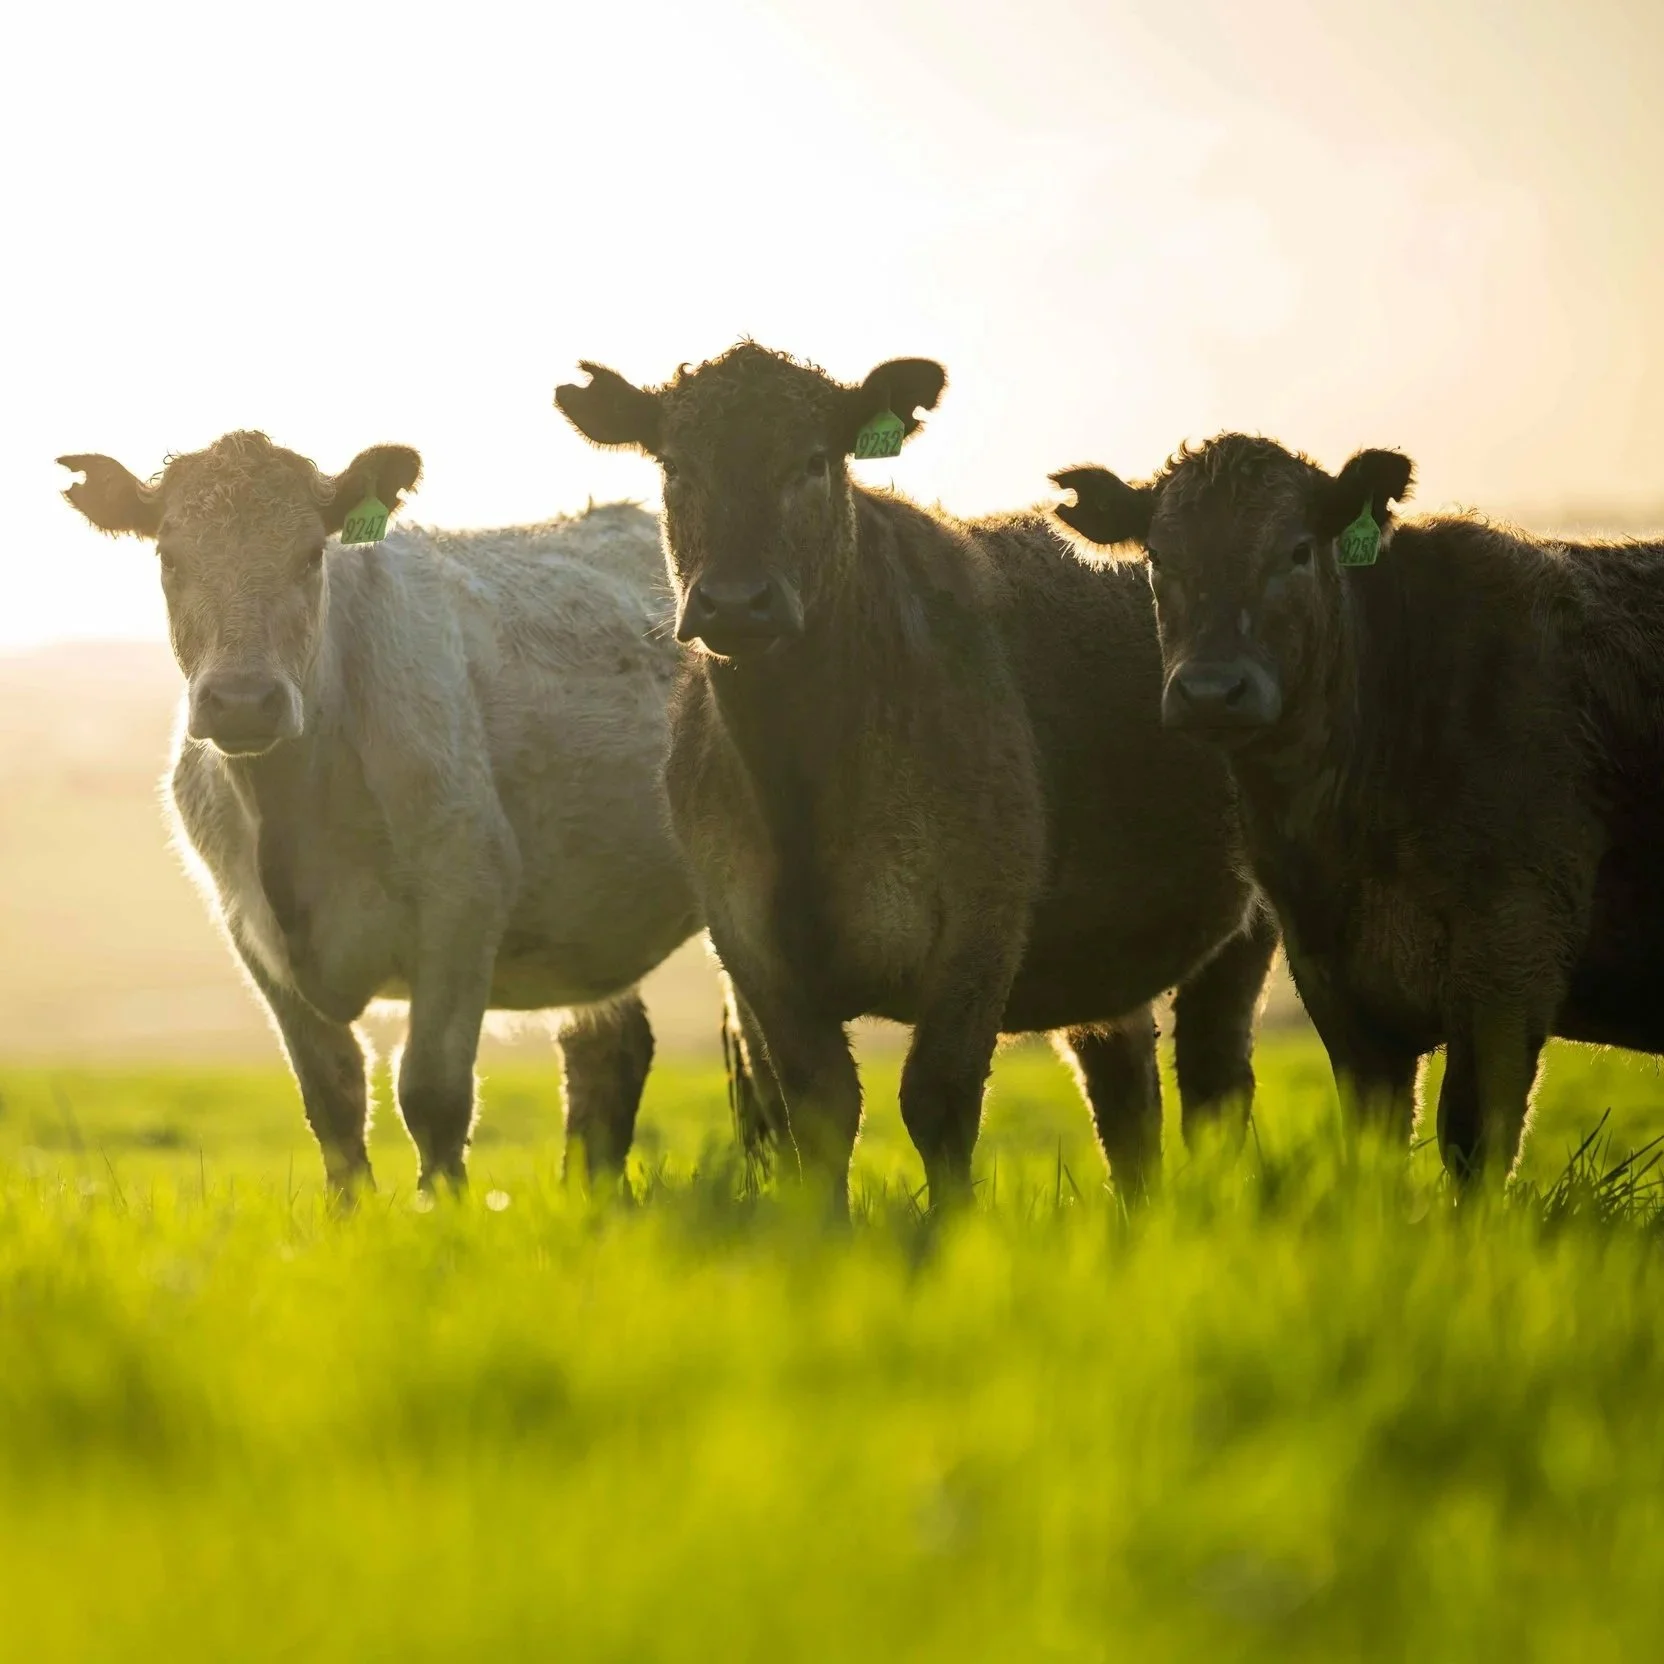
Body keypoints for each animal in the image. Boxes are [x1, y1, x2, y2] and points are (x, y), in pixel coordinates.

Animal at [57, 430, 744, 1196]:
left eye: (310, 554)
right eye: (170, 557)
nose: (241, 702)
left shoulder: (463, 902)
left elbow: (432, 1094)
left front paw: (442, 1211)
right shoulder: (251, 931)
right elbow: (332, 1101)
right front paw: (348, 1214)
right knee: (605, 1053)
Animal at [556, 344, 1276, 1211]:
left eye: (814, 461)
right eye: (675, 465)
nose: (735, 603)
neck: (800, 777)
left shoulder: (979, 923)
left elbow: (938, 1101)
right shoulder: (749, 943)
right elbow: (818, 1113)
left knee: (1214, 1077)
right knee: (1124, 1089)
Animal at [1052, 435, 1664, 1183]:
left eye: (1298, 550)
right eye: (1158, 556)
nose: (1211, 690)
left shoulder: (1512, 956)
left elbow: (1474, 1144)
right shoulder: (1339, 988)